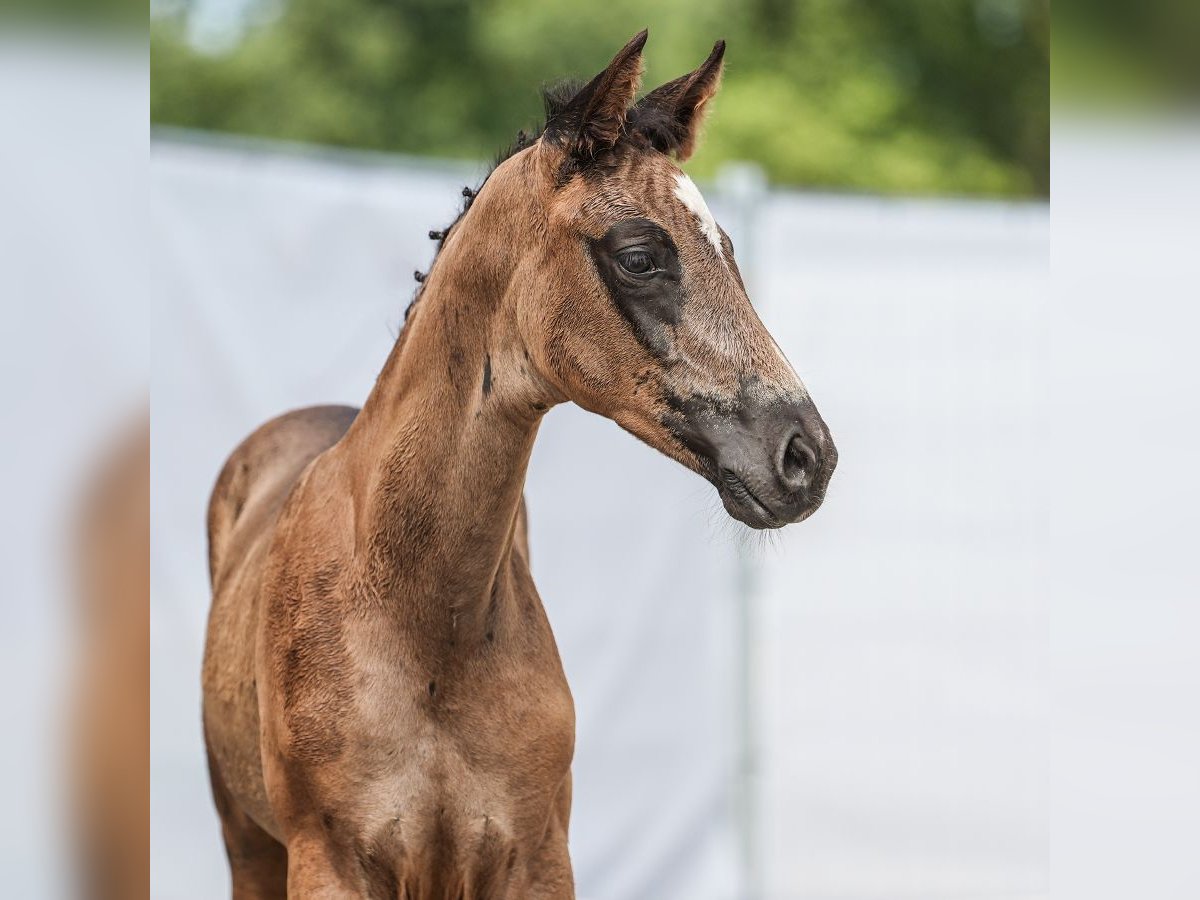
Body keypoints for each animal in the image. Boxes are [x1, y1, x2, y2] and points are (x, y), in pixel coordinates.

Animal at [201, 31, 835, 897]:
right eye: (640, 256)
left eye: (729, 251)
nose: (807, 456)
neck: (427, 624)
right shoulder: (326, 862)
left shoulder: (536, 857)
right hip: (248, 844)